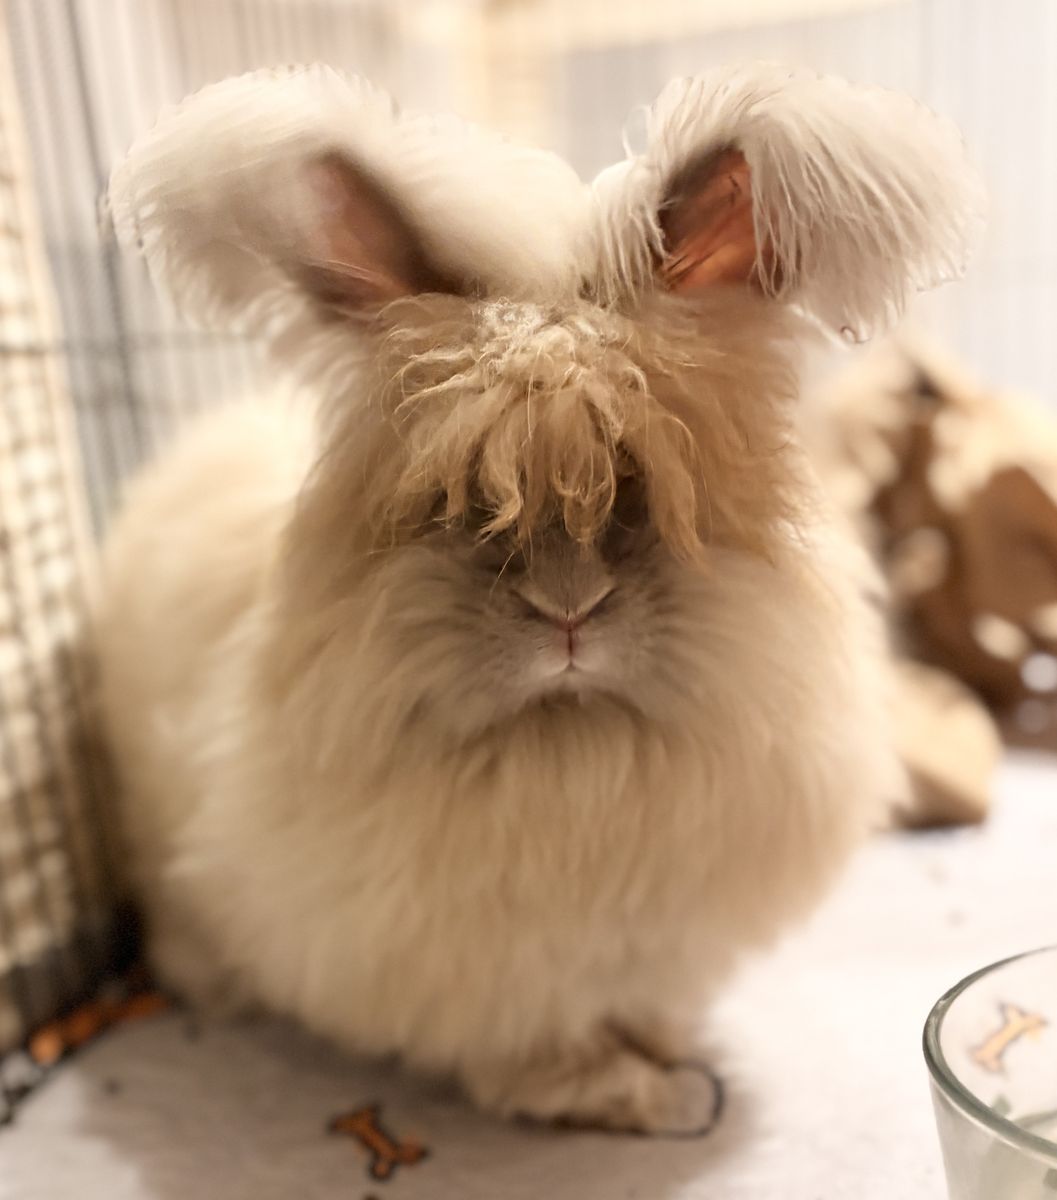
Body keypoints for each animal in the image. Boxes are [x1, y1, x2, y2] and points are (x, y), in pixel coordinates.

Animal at [97, 63, 982, 1136]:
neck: (575, 751)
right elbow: (532, 1053)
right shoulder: (491, 978)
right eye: (459, 501)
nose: (569, 612)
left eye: (637, 485)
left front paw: (665, 1053)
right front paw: (632, 1096)